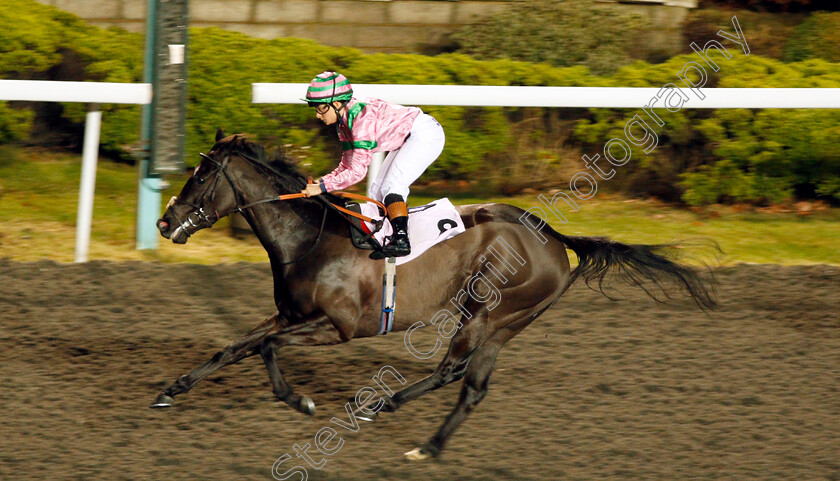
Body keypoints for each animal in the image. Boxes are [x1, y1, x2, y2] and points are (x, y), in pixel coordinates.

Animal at [153, 129, 716, 460]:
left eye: (200, 176)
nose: (163, 222)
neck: (309, 236)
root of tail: (552, 236)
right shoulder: (289, 314)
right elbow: (234, 347)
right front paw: (171, 389)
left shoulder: (335, 327)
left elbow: (265, 348)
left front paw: (301, 400)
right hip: (505, 324)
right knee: (473, 386)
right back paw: (430, 445)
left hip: (487, 311)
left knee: (452, 369)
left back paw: (383, 406)